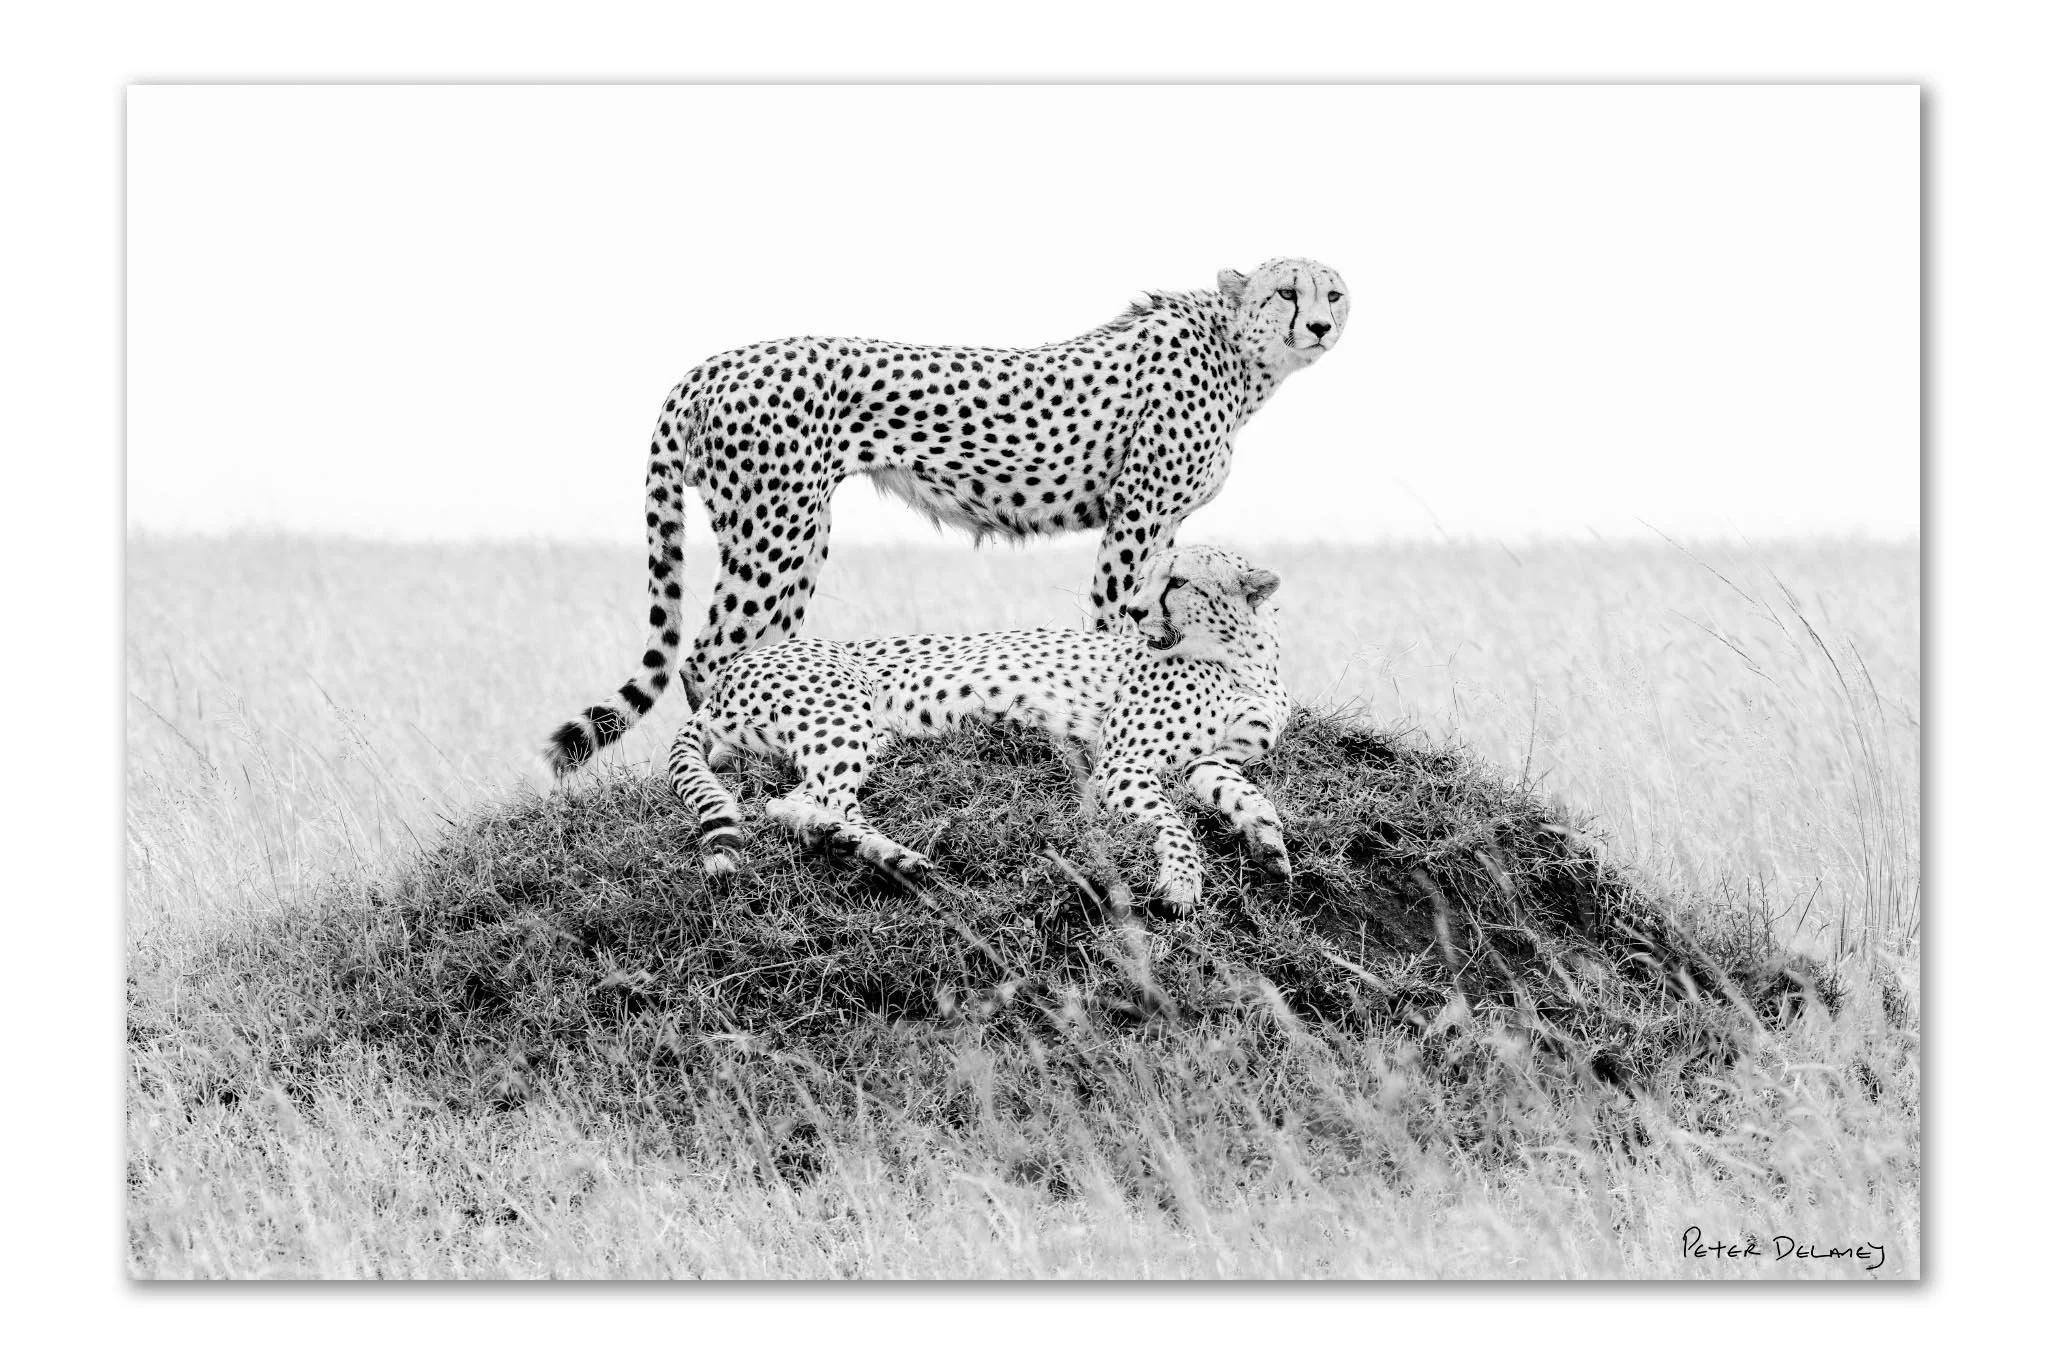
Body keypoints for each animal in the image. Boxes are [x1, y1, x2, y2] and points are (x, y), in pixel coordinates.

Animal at [542, 258, 1345, 777]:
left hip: (792, 531)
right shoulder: (1138, 513)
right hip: (779, 525)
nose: (1320, 324)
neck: (1237, 352)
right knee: (709, 653)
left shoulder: (1163, 521)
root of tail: (709, 363)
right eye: (1286, 291)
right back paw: (733, 759)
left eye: (1334, 292)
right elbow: (1118, 615)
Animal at [664, 544, 1294, 912]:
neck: (1241, 657)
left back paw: (853, 844)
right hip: (843, 713)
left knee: (801, 801)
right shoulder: (1123, 764)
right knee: (806, 800)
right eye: (1146, 579)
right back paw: (885, 853)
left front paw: (1267, 842)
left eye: (1179, 581)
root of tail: (727, 673)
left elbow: (1248, 794)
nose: (1135, 613)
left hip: (871, 735)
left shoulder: (1212, 760)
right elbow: (1175, 826)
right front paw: (1183, 883)